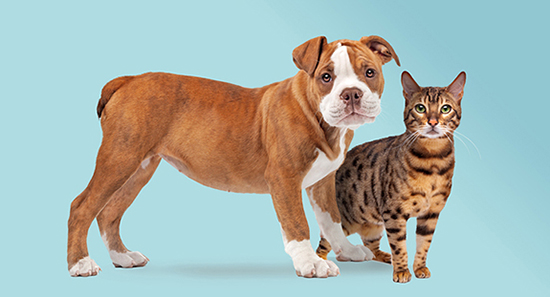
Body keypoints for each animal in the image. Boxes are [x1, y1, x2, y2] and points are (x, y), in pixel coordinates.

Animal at [68, 35, 402, 276]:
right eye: (326, 77)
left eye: (370, 73)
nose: (351, 94)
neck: (319, 118)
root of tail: (129, 79)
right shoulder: (285, 179)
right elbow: (297, 224)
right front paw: (310, 263)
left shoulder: (322, 182)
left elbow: (330, 219)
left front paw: (346, 250)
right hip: (119, 158)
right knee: (82, 206)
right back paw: (80, 264)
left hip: (140, 167)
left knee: (109, 212)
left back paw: (122, 257)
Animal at [316, 70, 468, 282]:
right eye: (420, 108)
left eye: (445, 109)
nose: (433, 122)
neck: (433, 162)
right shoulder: (394, 213)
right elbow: (399, 245)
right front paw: (402, 270)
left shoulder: (431, 214)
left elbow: (424, 244)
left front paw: (419, 267)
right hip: (344, 220)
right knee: (325, 244)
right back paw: (321, 264)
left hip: (373, 224)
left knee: (367, 244)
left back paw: (374, 256)